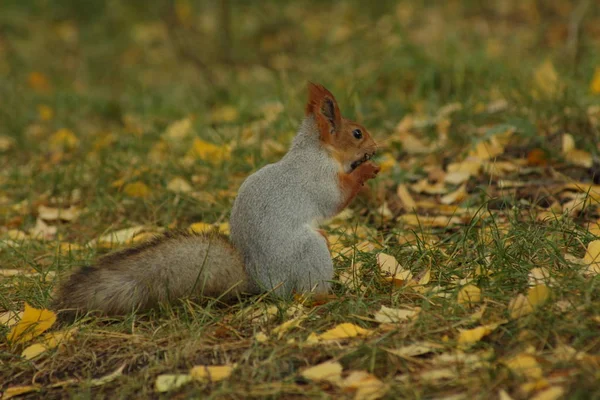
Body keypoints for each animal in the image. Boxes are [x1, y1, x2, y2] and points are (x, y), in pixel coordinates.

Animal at [52, 83, 380, 316]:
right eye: (357, 133)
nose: (376, 147)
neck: (317, 151)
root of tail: (262, 282)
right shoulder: (318, 179)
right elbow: (336, 199)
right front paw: (367, 170)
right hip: (308, 252)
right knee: (307, 290)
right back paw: (328, 297)